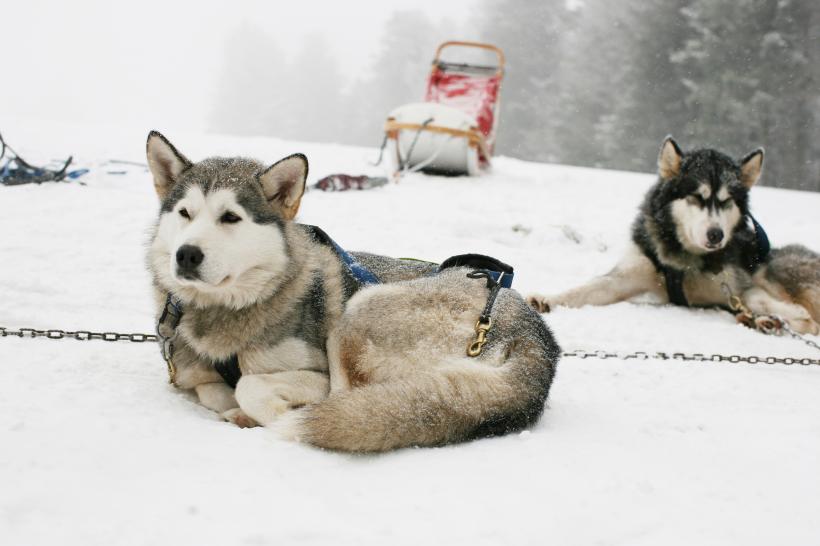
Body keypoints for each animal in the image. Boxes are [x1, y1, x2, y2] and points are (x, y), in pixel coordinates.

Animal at [146, 130, 556, 448]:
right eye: (185, 213)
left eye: (231, 217)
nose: (186, 255)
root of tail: (539, 339)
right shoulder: (192, 374)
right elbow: (211, 388)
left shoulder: (315, 374)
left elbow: (251, 385)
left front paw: (265, 413)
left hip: (359, 313)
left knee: (347, 403)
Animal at [524, 134, 820, 334]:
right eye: (697, 197)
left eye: (726, 201)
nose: (716, 235)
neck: (683, 260)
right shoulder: (629, 274)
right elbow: (587, 289)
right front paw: (548, 300)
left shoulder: (737, 284)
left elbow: (758, 298)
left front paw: (783, 314)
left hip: (775, 267)